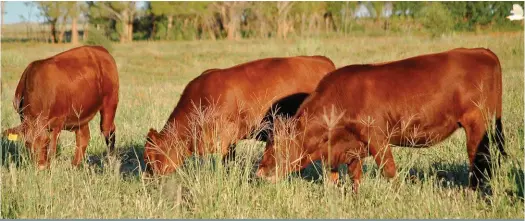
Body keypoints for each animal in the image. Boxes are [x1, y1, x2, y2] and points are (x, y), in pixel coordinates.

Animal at [256, 48, 506, 192]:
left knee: (478, 159)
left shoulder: (377, 138)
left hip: (476, 124)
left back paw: (473, 192)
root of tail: (481, 51)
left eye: (276, 145)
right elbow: (352, 176)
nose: (259, 173)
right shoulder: (351, 148)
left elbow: (389, 170)